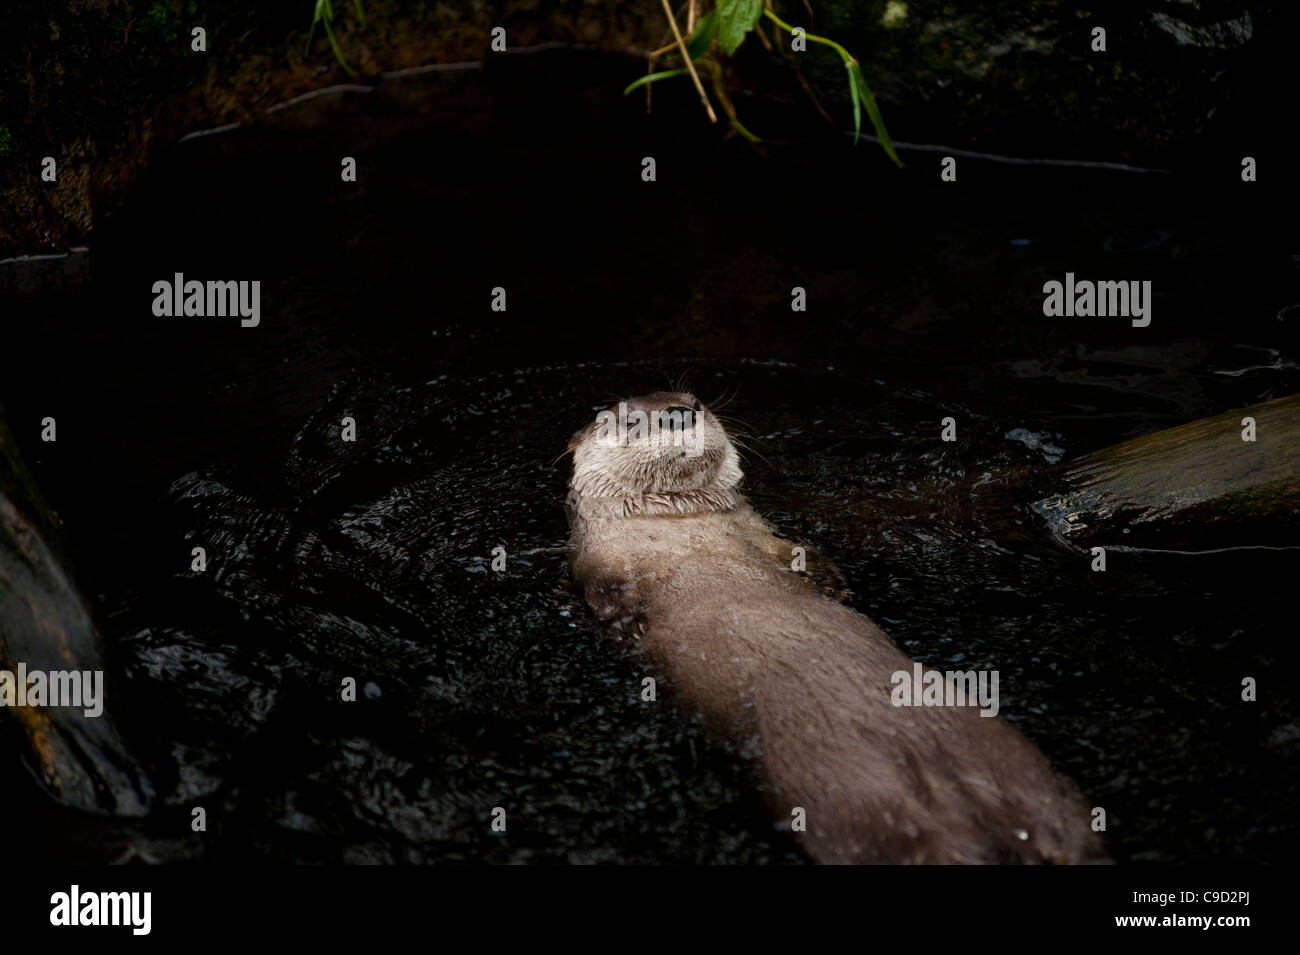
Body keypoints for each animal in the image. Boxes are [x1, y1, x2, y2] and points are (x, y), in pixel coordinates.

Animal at [565, 391, 1105, 864]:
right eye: (629, 420)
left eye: (694, 401)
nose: (678, 413)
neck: (688, 533)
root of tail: (962, 798)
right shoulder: (599, 564)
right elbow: (608, 597)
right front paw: (631, 625)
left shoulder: (765, 535)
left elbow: (802, 555)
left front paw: (834, 584)